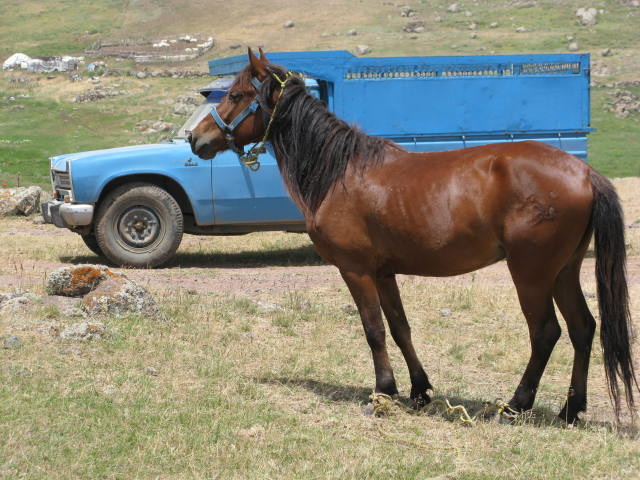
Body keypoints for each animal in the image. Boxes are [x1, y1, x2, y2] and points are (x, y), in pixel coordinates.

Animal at [188, 49, 636, 424]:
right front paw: (419, 391)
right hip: (564, 271)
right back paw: (570, 410)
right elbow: (400, 327)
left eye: (237, 94)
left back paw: (516, 404)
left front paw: (383, 393)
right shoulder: (384, 272)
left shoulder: (356, 270)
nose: (196, 139)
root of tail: (584, 172)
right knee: (582, 328)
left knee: (546, 333)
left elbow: (373, 330)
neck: (341, 172)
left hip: (531, 273)